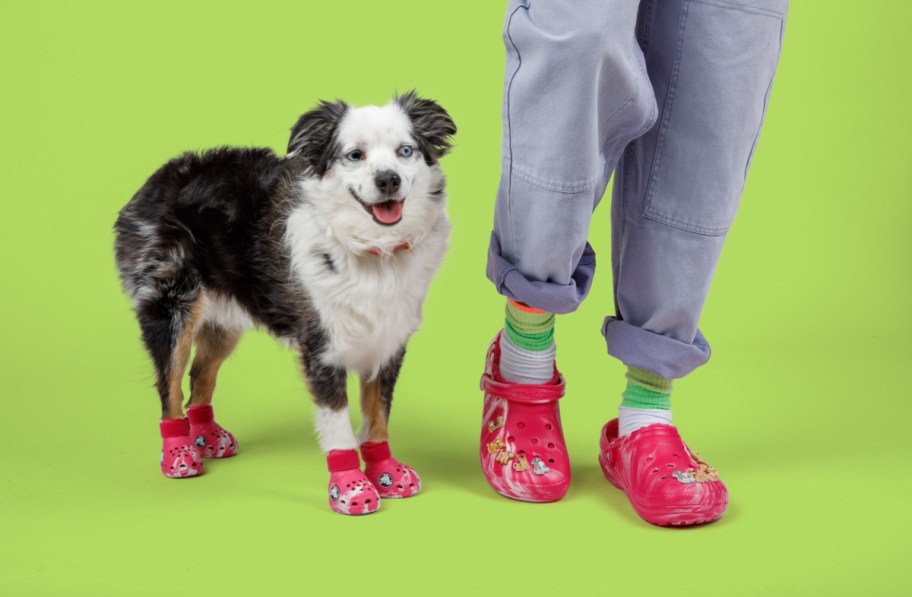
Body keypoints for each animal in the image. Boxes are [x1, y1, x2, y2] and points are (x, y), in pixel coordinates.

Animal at [114, 91, 456, 516]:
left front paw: (385, 469)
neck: (371, 249)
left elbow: (378, 414)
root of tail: (158, 177)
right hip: (173, 307)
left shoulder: (387, 341)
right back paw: (178, 451)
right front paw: (350, 486)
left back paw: (206, 435)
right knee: (171, 384)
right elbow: (338, 423)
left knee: (200, 375)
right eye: (354, 155)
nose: (388, 179)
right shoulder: (322, 347)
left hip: (225, 319)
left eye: (405, 151)